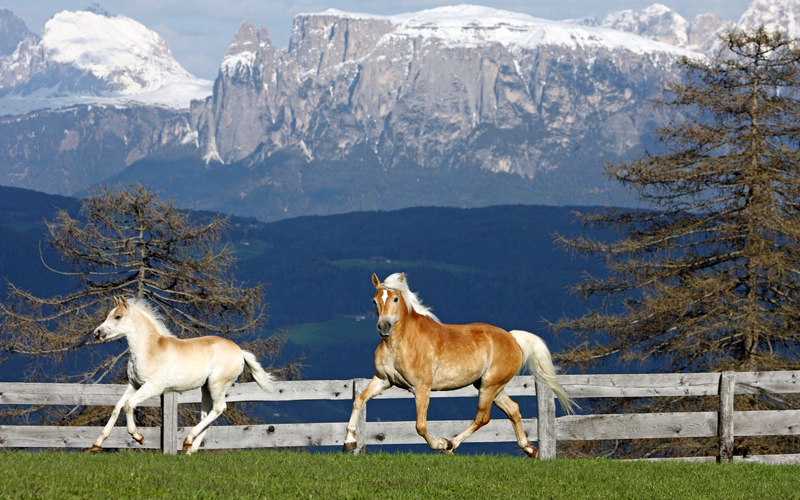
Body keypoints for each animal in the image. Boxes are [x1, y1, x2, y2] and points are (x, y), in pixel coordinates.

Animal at [91, 294, 276, 456]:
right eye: (109, 315)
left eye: (117, 316)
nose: (97, 333)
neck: (149, 349)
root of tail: (240, 352)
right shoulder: (134, 385)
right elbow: (117, 407)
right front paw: (96, 444)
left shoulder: (154, 387)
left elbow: (129, 405)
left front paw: (139, 437)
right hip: (206, 388)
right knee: (207, 414)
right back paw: (190, 450)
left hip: (216, 384)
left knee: (219, 409)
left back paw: (188, 440)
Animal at [344, 274, 576, 458]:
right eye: (374, 300)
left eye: (394, 298)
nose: (384, 327)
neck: (401, 343)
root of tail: (512, 337)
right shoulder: (383, 380)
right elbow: (359, 400)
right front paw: (349, 443)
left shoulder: (422, 387)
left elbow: (420, 425)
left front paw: (439, 443)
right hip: (489, 386)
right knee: (513, 410)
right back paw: (530, 449)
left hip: (490, 386)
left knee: (483, 417)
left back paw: (450, 445)